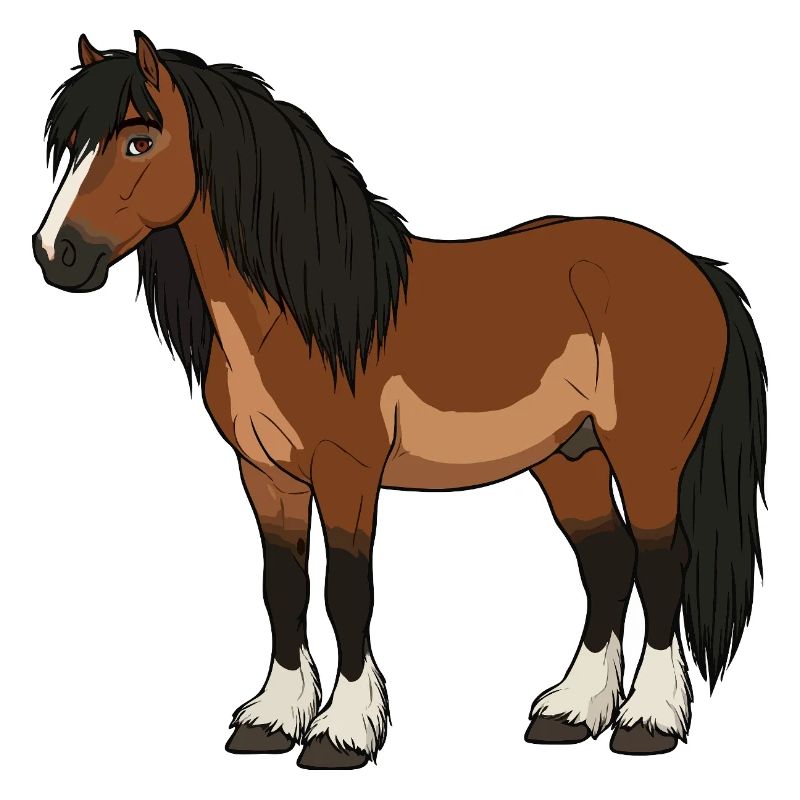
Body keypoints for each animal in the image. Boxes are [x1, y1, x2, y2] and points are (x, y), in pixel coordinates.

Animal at [32, 31, 767, 770]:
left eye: (138, 140)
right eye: (70, 146)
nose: (54, 254)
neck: (304, 315)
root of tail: (696, 268)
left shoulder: (348, 473)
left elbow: (346, 593)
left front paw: (343, 732)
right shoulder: (266, 475)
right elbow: (283, 589)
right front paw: (273, 720)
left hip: (645, 459)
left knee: (660, 564)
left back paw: (649, 721)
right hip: (570, 457)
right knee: (608, 560)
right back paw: (571, 711)